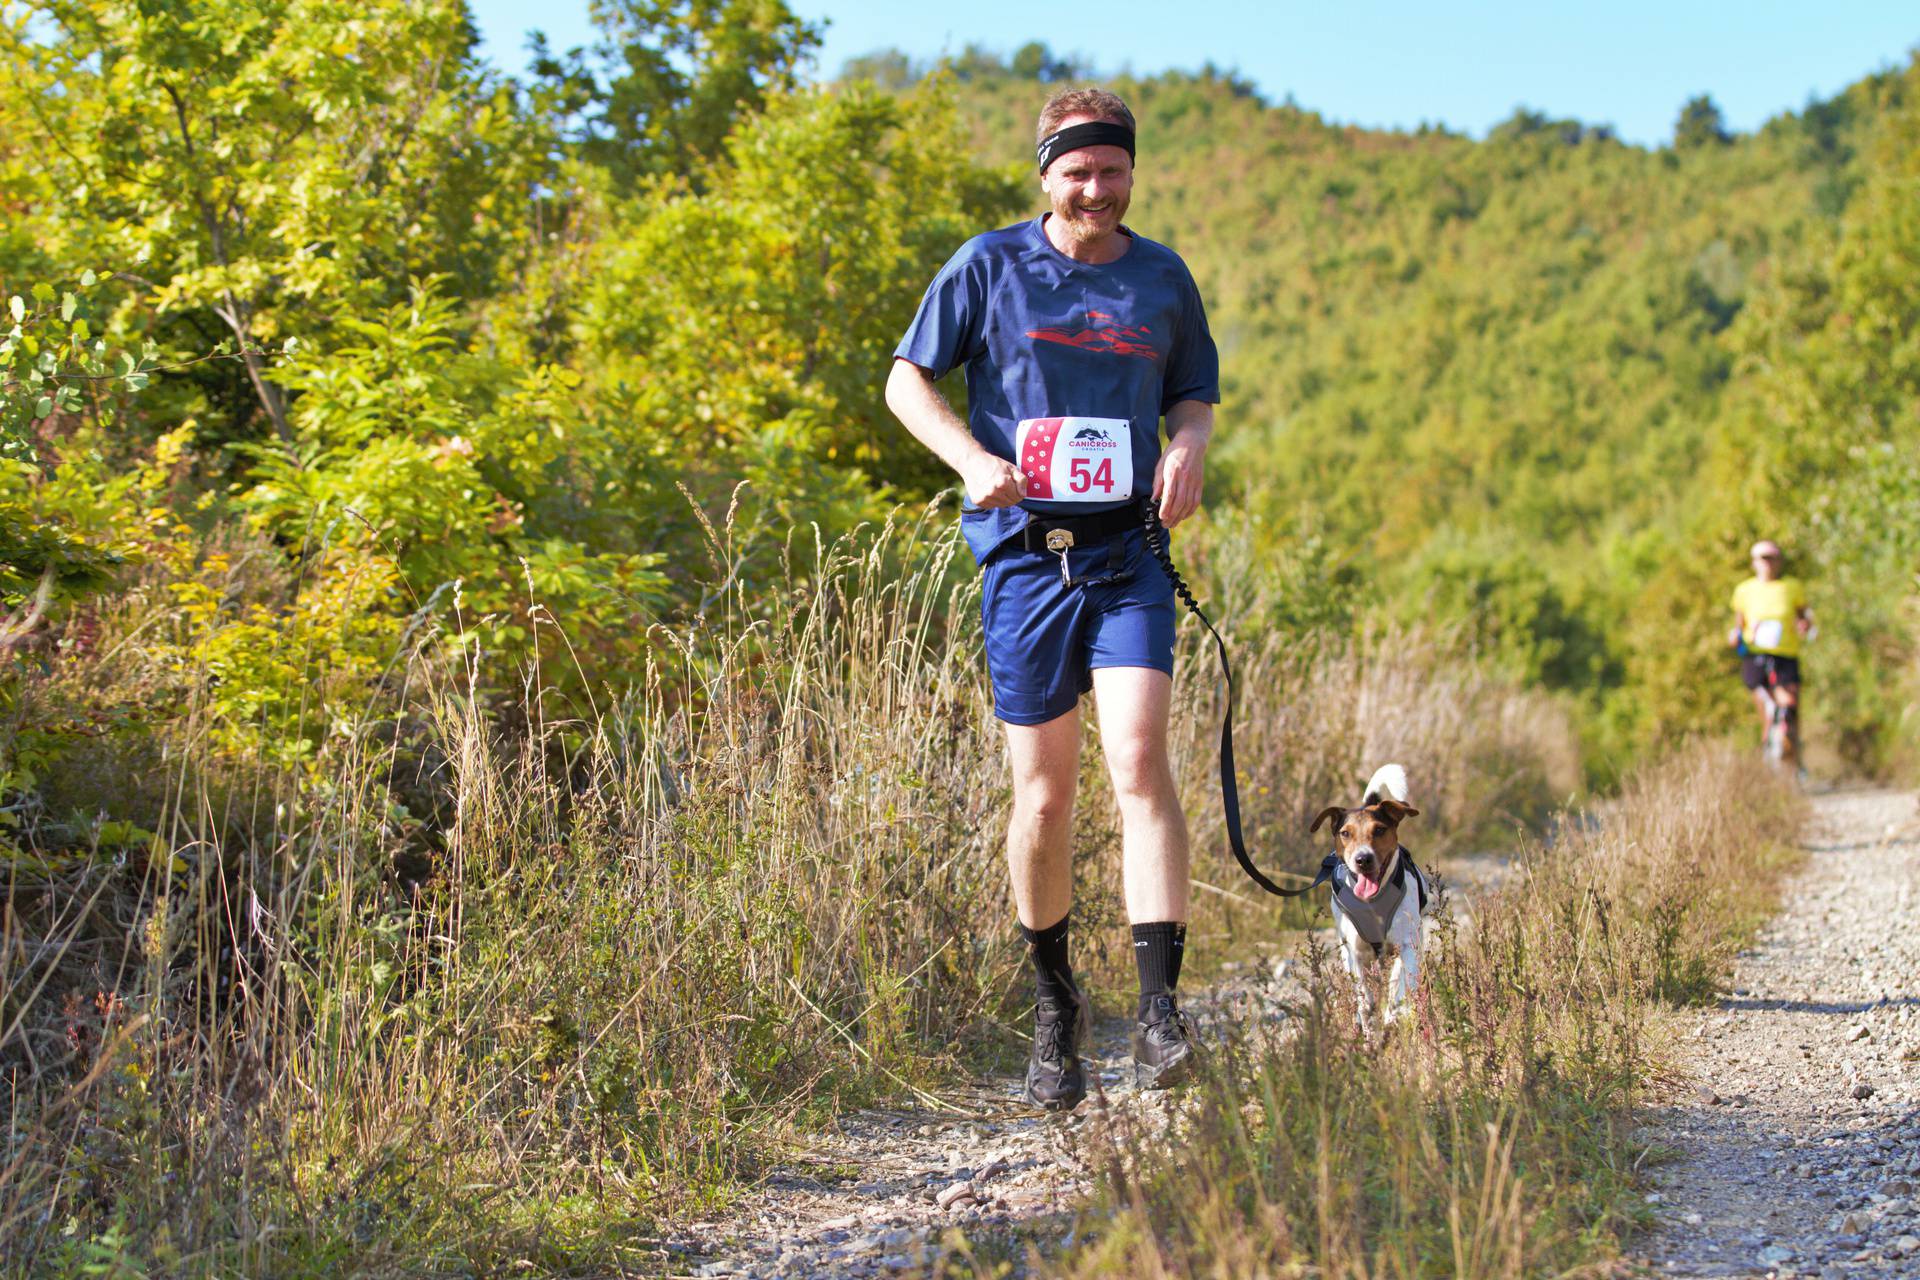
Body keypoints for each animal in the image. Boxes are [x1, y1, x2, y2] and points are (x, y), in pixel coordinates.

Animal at [1305, 767, 1428, 1028]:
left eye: (1379, 830)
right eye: (1345, 833)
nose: (1363, 859)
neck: (1373, 902)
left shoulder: (1406, 944)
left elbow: (1401, 986)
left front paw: (1394, 1014)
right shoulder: (1355, 953)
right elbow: (1364, 998)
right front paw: (1368, 1024)